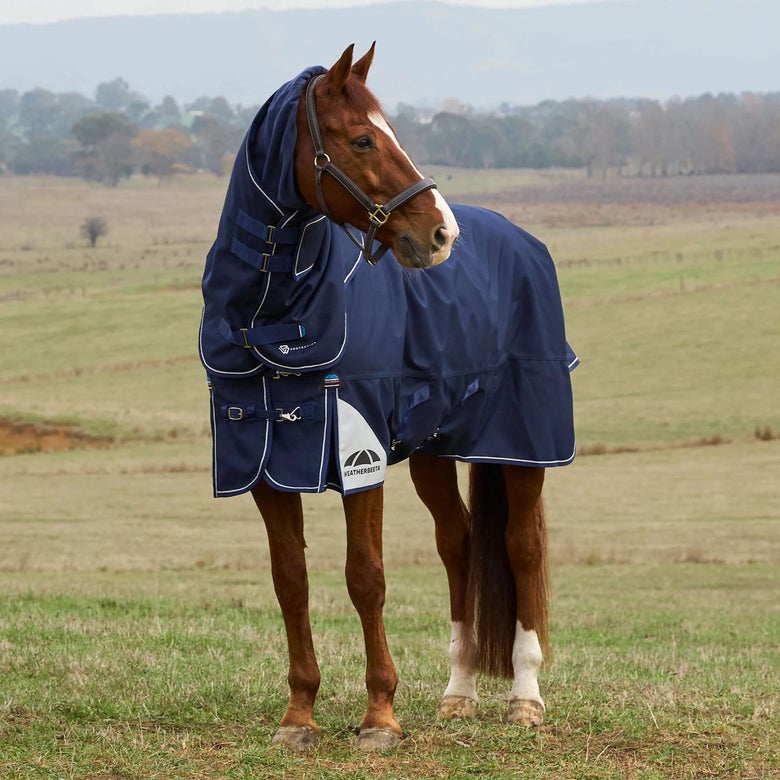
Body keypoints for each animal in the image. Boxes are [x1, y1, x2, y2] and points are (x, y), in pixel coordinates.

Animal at [199, 43, 577, 751]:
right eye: (363, 139)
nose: (440, 235)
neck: (273, 315)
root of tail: (522, 243)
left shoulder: (359, 451)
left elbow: (365, 578)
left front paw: (379, 715)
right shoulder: (264, 458)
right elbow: (290, 581)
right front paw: (299, 715)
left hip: (522, 445)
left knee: (522, 547)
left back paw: (525, 697)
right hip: (434, 450)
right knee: (459, 544)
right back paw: (459, 693)